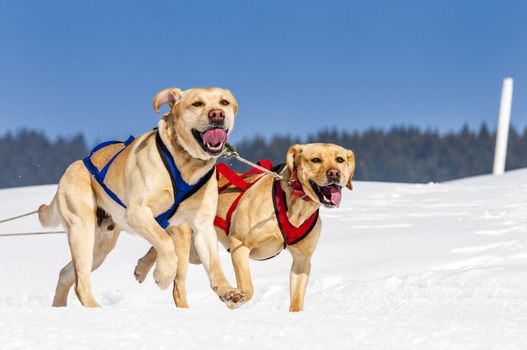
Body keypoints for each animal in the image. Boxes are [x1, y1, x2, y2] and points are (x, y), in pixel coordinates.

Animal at [38, 87, 245, 308]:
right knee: (81, 283)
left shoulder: (201, 224)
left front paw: (227, 290)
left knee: (66, 273)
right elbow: (165, 242)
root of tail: (74, 165)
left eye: (224, 102)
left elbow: (213, 263)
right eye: (197, 104)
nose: (217, 114)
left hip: (100, 247)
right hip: (82, 228)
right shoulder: (138, 213)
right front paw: (163, 274)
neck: (186, 165)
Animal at [134, 142, 354, 312]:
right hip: (187, 238)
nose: (334, 174)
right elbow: (248, 288)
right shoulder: (240, 245)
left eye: (340, 159)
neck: (295, 206)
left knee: (158, 247)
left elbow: (297, 299)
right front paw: (233, 300)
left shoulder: (302, 260)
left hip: (195, 250)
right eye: (315, 160)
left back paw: (141, 268)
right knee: (177, 283)